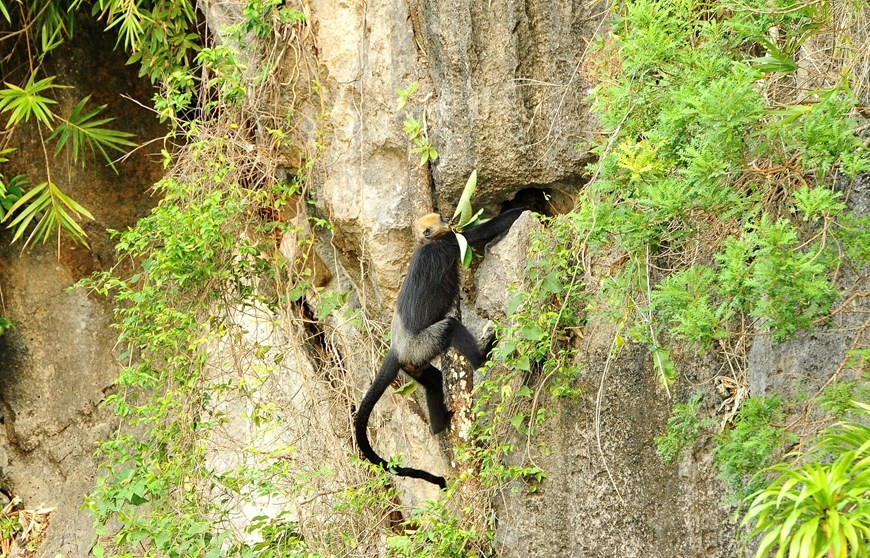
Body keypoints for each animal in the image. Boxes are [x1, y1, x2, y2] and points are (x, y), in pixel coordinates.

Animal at [354, 208, 524, 488]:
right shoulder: (448, 243)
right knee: (450, 328)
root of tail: (397, 349)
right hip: (422, 344)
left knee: (433, 380)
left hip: (414, 361)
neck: (426, 243)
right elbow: (481, 232)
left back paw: (439, 425)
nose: (447, 218)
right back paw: (481, 358)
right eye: (442, 220)